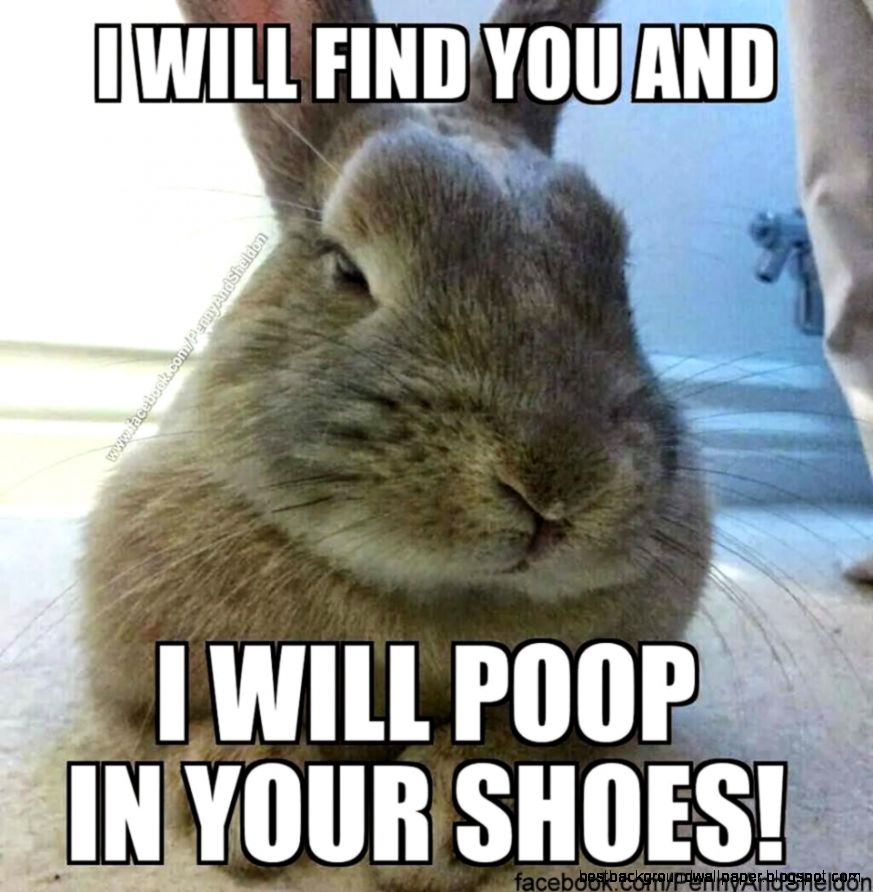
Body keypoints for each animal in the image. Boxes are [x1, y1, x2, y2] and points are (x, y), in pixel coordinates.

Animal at [80, 0, 711, 888]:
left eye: (616, 271)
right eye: (346, 268)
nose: (555, 485)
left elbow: (511, 743)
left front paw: (437, 834)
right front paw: (243, 803)